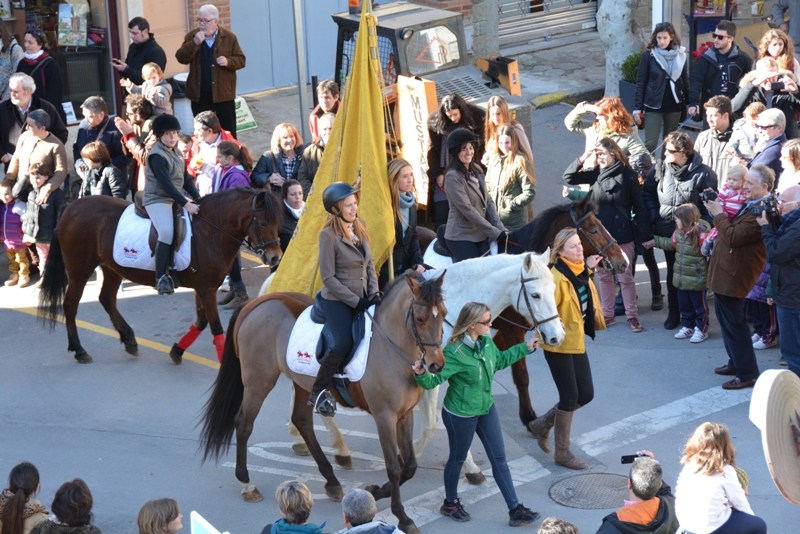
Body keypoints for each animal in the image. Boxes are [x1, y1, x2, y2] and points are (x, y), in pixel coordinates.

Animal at [37, 186, 282, 366]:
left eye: (278, 222)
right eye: (262, 223)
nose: (275, 258)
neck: (210, 231)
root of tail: (70, 208)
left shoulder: (204, 287)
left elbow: (201, 321)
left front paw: (177, 351)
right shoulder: (206, 289)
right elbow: (215, 326)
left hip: (112, 268)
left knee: (106, 299)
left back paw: (129, 340)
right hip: (79, 270)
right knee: (70, 305)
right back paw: (80, 350)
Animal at [200, 272, 450, 534]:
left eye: (444, 314)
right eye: (420, 319)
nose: (436, 365)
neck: (391, 346)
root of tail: (255, 304)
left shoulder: (404, 415)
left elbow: (409, 466)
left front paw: (375, 492)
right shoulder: (384, 416)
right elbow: (393, 466)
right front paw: (401, 515)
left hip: (303, 383)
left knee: (301, 420)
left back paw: (331, 480)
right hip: (258, 382)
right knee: (244, 424)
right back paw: (247, 483)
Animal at [258, 253, 564, 484]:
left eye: (554, 291)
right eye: (535, 294)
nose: (556, 336)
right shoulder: (432, 375)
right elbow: (432, 424)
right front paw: (421, 457)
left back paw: (304, 437)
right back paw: (336, 446)